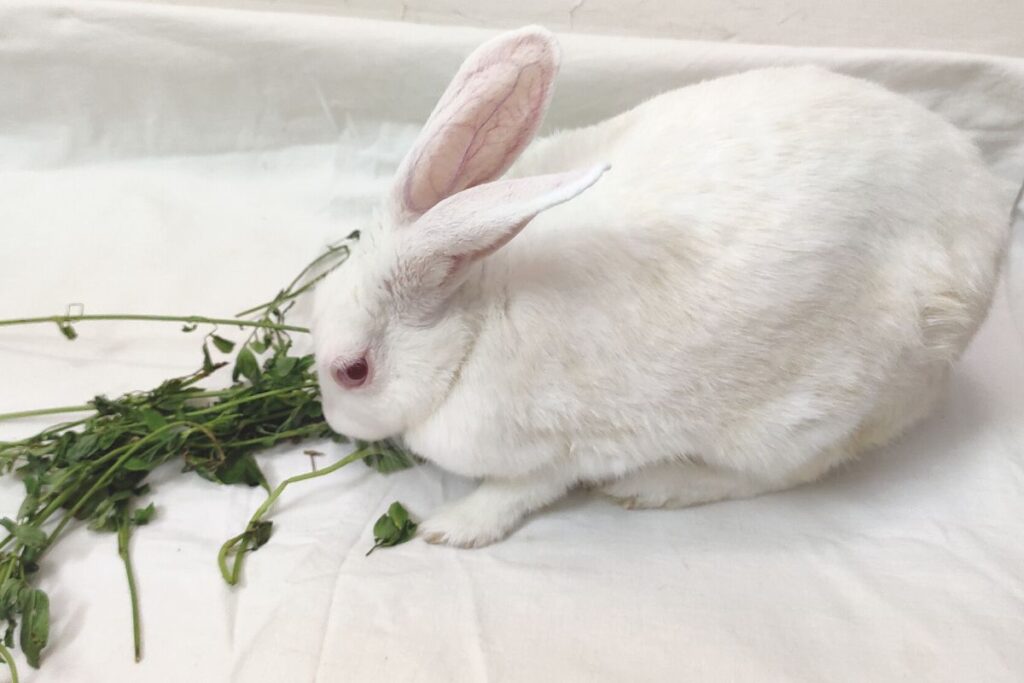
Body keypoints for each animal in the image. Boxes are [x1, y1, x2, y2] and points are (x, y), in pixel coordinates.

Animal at [311, 26, 1014, 548]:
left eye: (354, 371)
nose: (334, 421)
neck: (475, 316)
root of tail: (987, 215)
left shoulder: (559, 450)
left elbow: (518, 492)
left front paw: (451, 528)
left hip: (821, 412)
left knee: (781, 473)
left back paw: (658, 486)